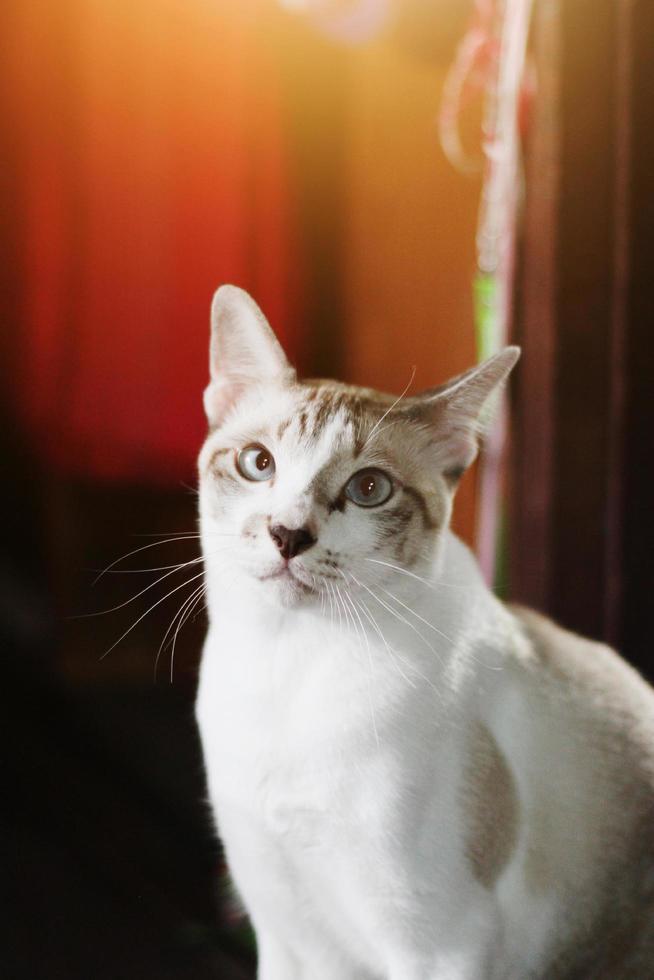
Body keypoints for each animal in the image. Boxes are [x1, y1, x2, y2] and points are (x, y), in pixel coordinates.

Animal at [195, 286, 654, 980]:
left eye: (369, 489)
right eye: (258, 463)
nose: (288, 534)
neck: (288, 663)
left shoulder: (438, 947)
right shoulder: (284, 930)